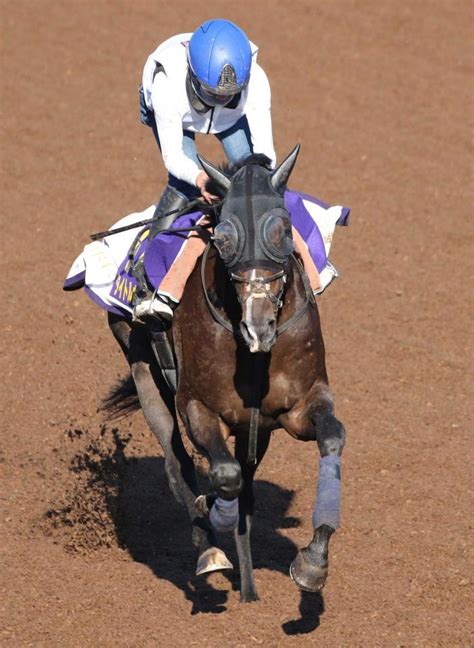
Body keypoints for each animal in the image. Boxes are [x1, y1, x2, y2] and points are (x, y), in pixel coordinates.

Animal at [107, 144, 344, 600]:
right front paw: (214, 519)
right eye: (223, 237)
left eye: (283, 229)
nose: (258, 325)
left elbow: (332, 439)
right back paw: (209, 549)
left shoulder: (296, 406)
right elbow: (224, 474)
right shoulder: (197, 405)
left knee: (245, 481)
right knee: (177, 465)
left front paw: (313, 563)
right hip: (142, 366)